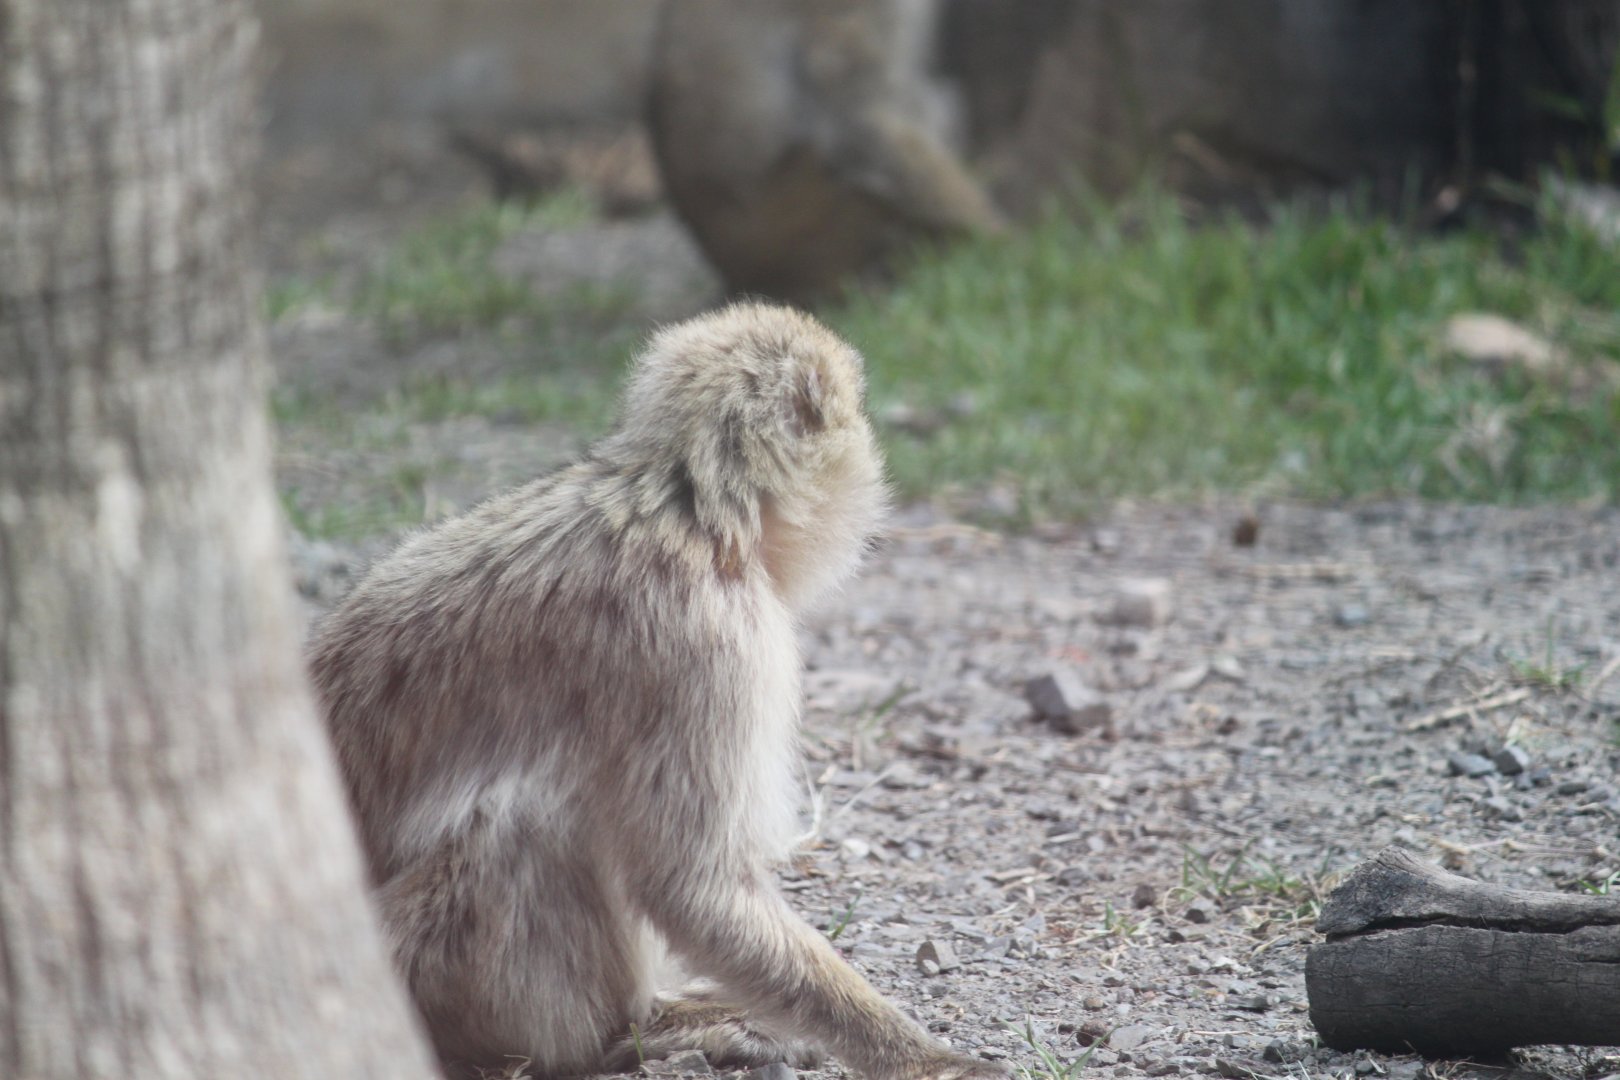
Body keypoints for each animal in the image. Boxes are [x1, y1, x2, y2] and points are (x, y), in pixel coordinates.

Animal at [307, 303, 1008, 1080]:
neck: (686, 507)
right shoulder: (713, 645)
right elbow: (692, 889)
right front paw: (920, 1056)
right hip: (411, 976)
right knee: (525, 826)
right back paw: (617, 1036)